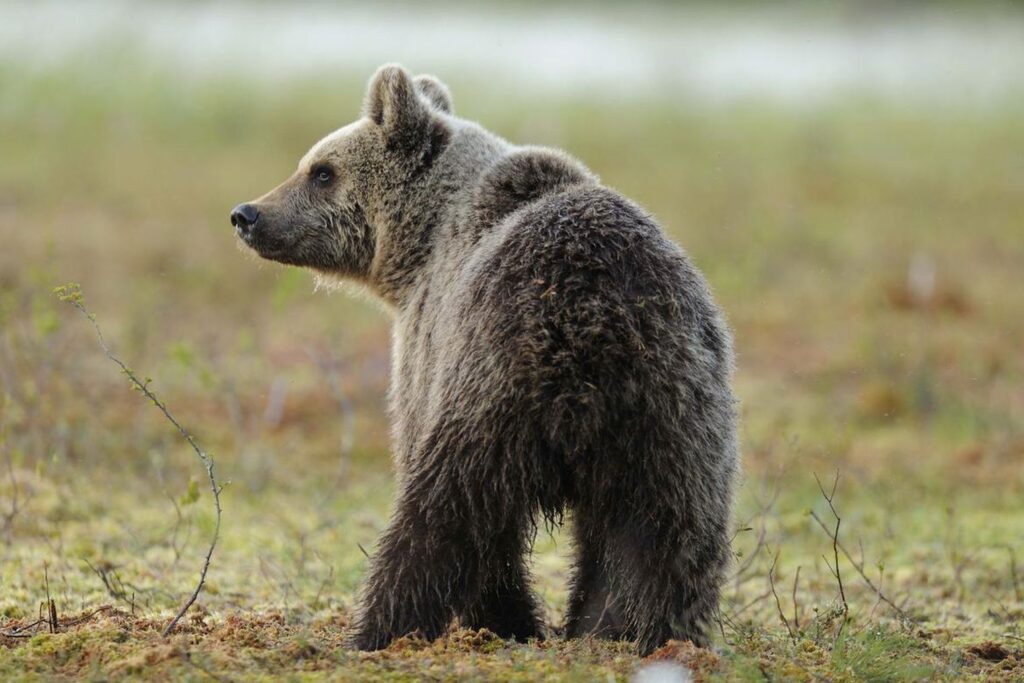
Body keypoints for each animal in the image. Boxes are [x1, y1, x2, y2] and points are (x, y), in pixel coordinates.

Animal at [234, 65, 737, 655]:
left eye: (321, 171)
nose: (247, 214)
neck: (423, 240)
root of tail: (593, 328)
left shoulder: (429, 348)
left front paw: (503, 621)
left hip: (494, 386)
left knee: (450, 514)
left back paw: (383, 629)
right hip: (674, 413)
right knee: (668, 533)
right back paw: (635, 631)